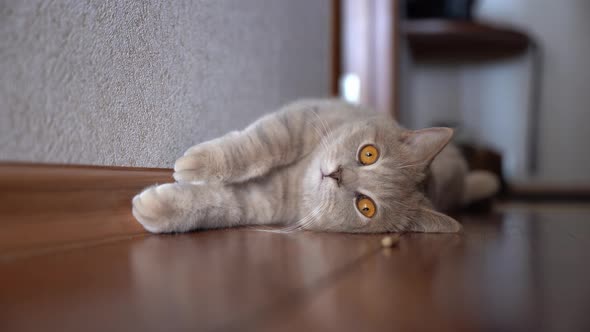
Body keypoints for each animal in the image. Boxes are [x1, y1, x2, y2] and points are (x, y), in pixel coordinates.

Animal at [132, 98, 498, 233]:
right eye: (369, 154)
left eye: (366, 206)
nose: (336, 174)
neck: (299, 178)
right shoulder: (297, 120)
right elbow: (258, 145)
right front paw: (198, 162)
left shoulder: (261, 202)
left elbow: (220, 204)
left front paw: (157, 208)